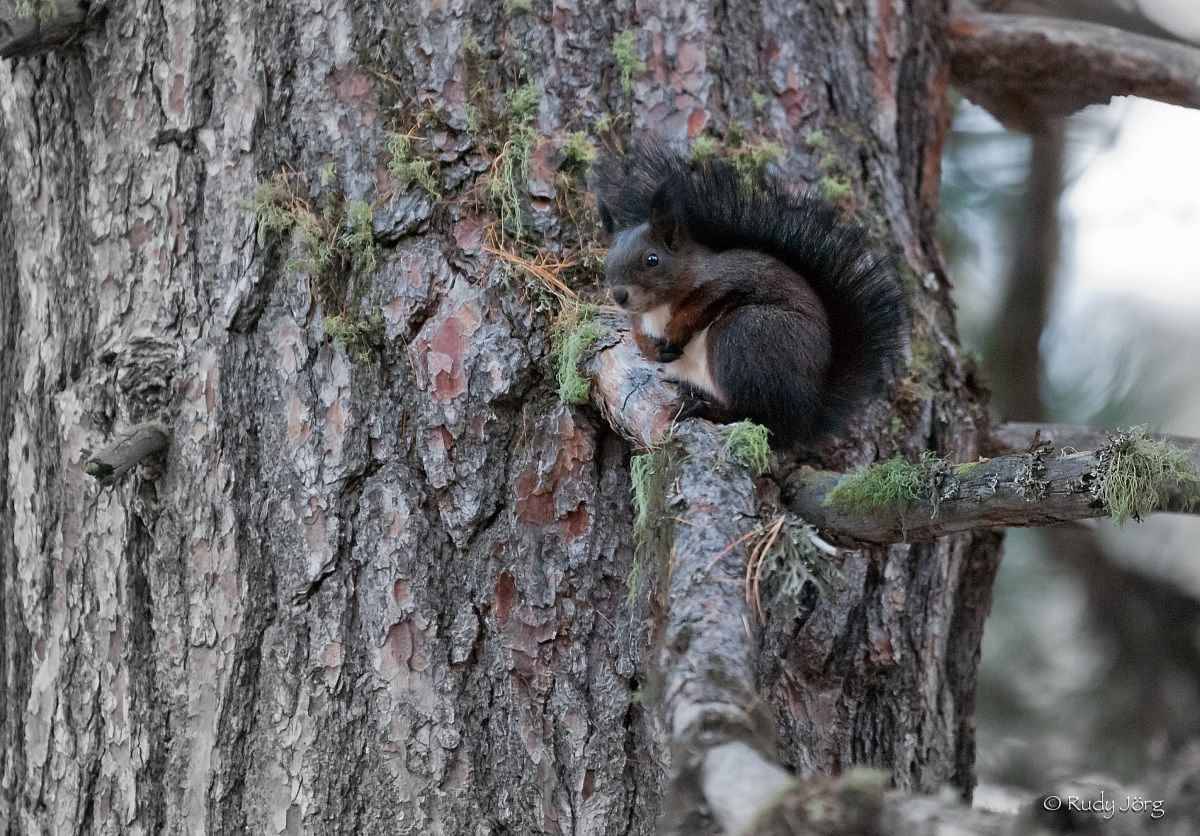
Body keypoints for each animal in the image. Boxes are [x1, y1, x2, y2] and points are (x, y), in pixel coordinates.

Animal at [591, 142, 907, 446]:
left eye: (652, 260)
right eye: (607, 260)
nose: (619, 295)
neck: (658, 309)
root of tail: (809, 413)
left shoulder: (730, 278)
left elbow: (703, 303)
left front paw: (675, 330)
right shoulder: (640, 319)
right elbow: (638, 335)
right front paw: (653, 349)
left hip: (744, 336)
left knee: (760, 416)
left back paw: (704, 407)